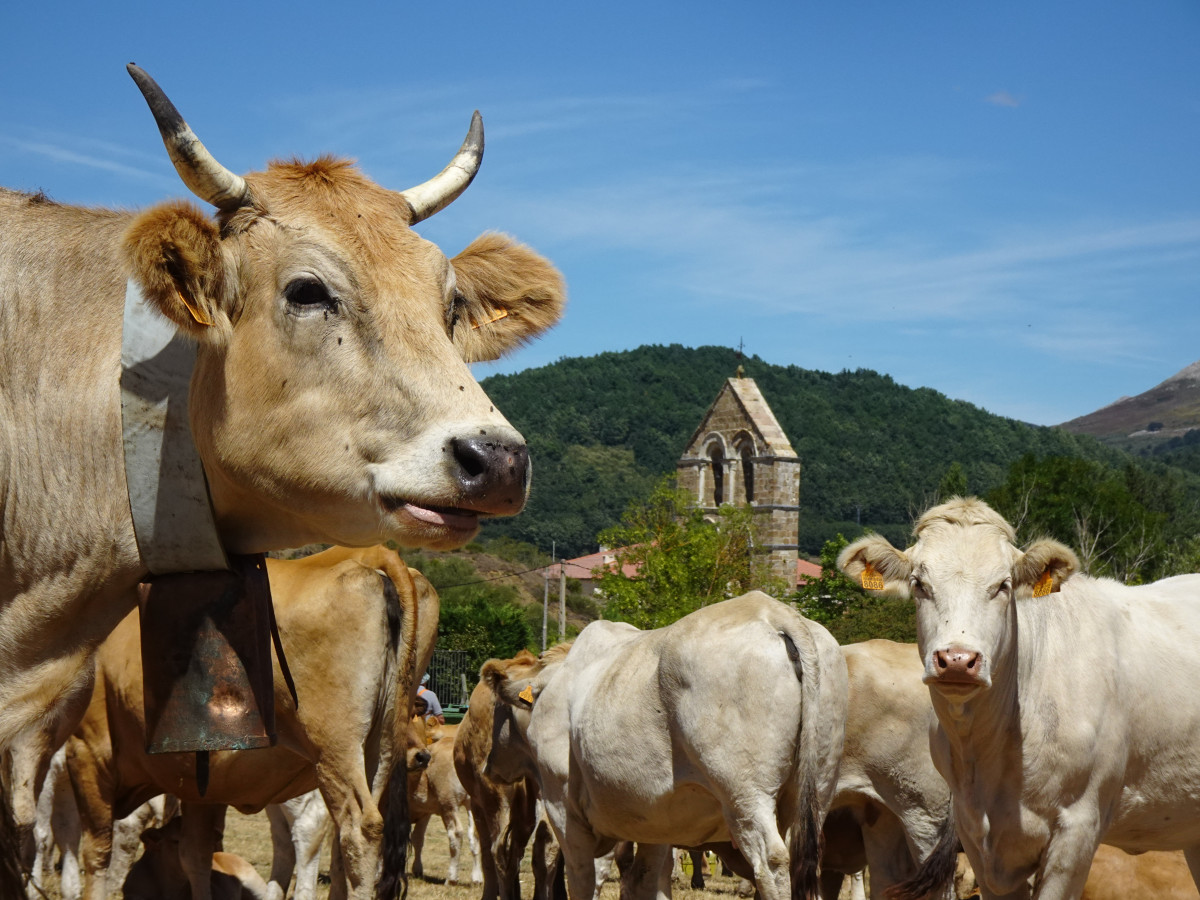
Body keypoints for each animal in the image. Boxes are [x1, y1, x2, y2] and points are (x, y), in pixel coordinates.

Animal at [65, 547, 436, 900]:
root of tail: (372, 554)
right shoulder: (199, 784)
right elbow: (195, 854)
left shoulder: (87, 749)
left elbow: (97, 849)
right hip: (380, 750)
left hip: (336, 750)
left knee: (357, 831)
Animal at [484, 592, 844, 900]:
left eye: (498, 708)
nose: (489, 766)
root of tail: (772, 610)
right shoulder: (655, 818)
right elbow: (646, 880)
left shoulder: (564, 808)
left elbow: (586, 880)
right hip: (814, 789)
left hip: (745, 792)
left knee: (771, 861)